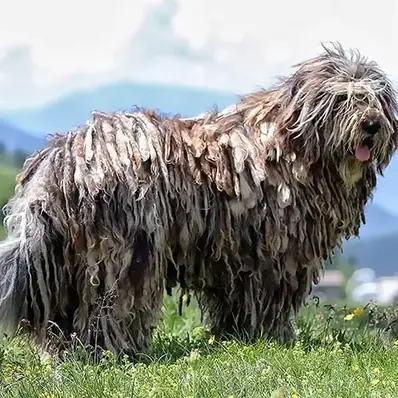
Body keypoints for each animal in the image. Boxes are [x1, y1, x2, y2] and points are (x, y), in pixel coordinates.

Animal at [0, 43, 396, 358]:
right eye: (344, 99)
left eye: (377, 100)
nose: (372, 125)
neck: (289, 147)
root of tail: (66, 155)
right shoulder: (275, 255)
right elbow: (270, 300)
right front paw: (275, 337)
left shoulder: (237, 259)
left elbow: (237, 304)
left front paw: (238, 337)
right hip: (126, 251)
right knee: (112, 306)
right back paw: (115, 350)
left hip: (72, 257)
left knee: (66, 312)